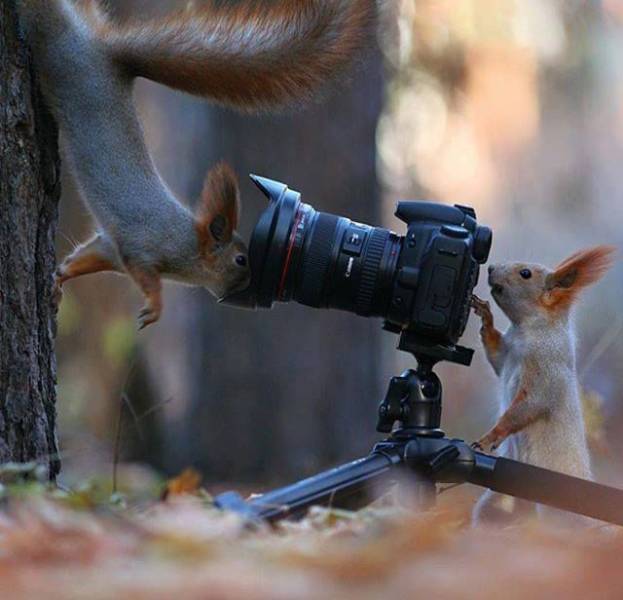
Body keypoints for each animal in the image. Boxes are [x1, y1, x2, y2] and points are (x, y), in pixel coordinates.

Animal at [19, 0, 378, 328]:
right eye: (241, 260)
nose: (252, 285)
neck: (187, 245)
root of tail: (98, 50)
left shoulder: (112, 248)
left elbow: (89, 256)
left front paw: (60, 276)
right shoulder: (143, 249)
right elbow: (148, 278)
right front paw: (155, 306)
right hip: (57, 53)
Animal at [472, 244, 616, 520]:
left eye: (525, 274)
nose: (491, 268)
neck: (527, 331)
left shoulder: (546, 369)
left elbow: (528, 406)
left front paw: (489, 438)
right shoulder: (506, 353)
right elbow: (496, 356)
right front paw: (485, 315)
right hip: (500, 502)